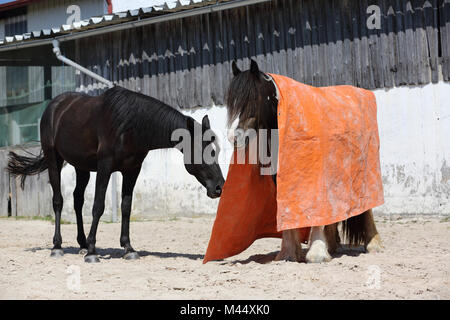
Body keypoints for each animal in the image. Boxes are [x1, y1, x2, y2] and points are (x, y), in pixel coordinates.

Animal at [7, 85, 225, 262]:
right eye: (202, 151)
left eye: (214, 151)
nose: (219, 187)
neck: (130, 126)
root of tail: (54, 106)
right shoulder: (105, 167)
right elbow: (98, 206)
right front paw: (93, 252)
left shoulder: (132, 170)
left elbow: (126, 206)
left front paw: (128, 248)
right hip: (55, 160)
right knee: (58, 201)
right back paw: (58, 246)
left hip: (81, 167)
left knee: (77, 200)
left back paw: (82, 243)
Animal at [227, 59, 382, 262]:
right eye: (231, 103)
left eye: (252, 99)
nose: (233, 137)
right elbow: (287, 207)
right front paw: (288, 252)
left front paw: (316, 253)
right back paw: (331, 245)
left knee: (367, 204)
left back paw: (373, 244)